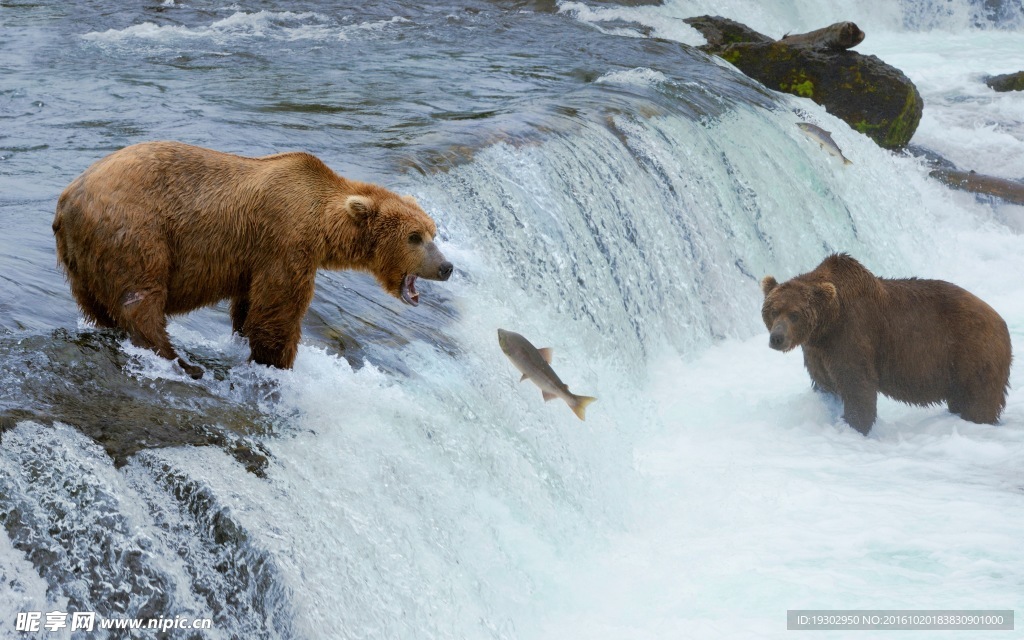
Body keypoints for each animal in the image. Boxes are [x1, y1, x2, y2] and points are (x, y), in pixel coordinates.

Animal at [52, 141, 452, 378]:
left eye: (433, 232)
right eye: (414, 237)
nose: (446, 267)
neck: (323, 224)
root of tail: (68, 197)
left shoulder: (255, 258)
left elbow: (248, 306)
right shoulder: (285, 241)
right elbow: (278, 310)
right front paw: (278, 361)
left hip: (81, 258)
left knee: (97, 304)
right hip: (135, 231)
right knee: (142, 298)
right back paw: (179, 360)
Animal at [757, 254, 1011, 434]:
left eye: (794, 314)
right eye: (773, 310)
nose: (777, 338)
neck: (827, 324)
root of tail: (1000, 321)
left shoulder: (852, 335)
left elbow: (858, 385)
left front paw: (854, 425)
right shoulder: (817, 350)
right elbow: (824, 382)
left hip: (973, 354)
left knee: (979, 400)